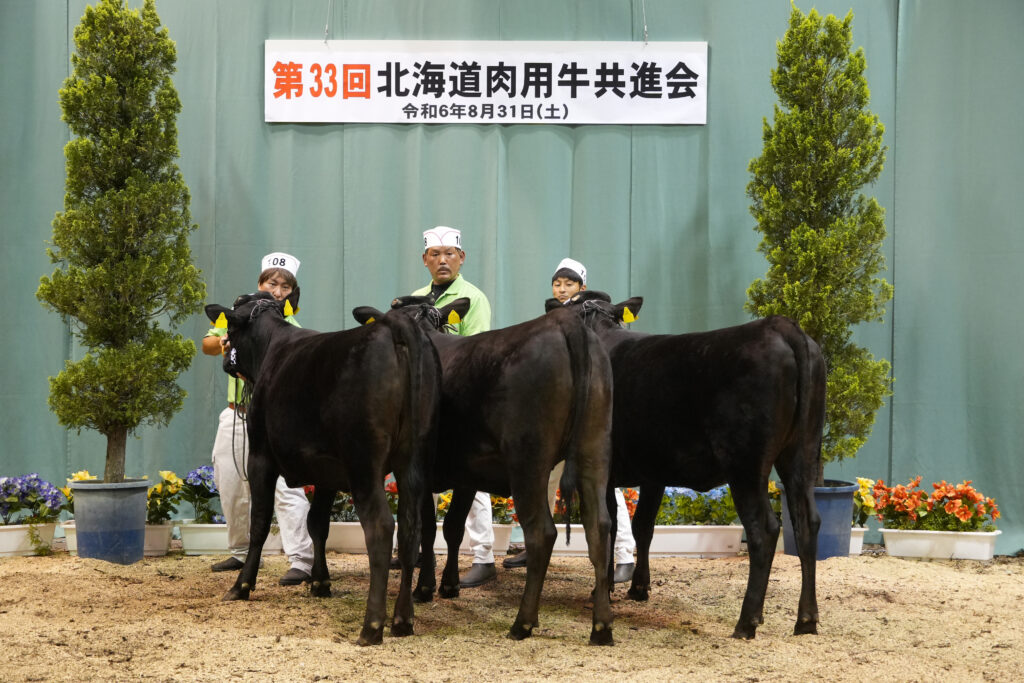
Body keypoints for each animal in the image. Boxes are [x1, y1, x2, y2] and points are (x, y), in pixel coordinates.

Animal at [201, 292, 438, 647]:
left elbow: (260, 522)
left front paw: (241, 585)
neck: (274, 346)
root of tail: (392, 326)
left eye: (229, 326)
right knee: (411, 530)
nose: (226, 357)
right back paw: (402, 619)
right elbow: (317, 524)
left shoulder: (260, 456)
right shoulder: (326, 470)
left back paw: (372, 626)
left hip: (364, 464)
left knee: (381, 528)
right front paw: (320, 583)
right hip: (412, 460)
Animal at [354, 296, 606, 643]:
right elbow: (451, 528)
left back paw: (522, 623)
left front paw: (426, 588)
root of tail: (561, 322)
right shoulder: (466, 474)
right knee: (600, 528)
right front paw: (448, 585)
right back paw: (602, 628)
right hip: (594, 452)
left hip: (528, 461)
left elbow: (429, 528)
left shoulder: (426, 472)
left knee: (542, 533)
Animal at [557, 292, 827, 643]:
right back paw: (806, 619)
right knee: (807, 523)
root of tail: (778, 325)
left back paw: (747, 622)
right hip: (803, 453)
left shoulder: (605, 470)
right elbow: (643, 525)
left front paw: (602, 590)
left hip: (746, 465)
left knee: (765, 529)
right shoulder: (653, 472)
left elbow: (611, 526)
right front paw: (639, 587)